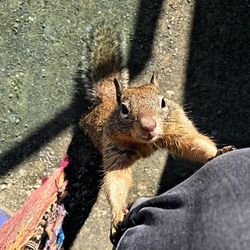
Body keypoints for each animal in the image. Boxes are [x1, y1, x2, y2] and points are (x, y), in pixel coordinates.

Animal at [79, 25, 235, 240]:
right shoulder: (115, 147)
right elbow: (116, 180)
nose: (149, 126)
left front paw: (217, 153)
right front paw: (117, 214)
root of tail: (107, 99)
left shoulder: (177, 129)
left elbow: (194, 144)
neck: (146, 143)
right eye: (124, 109)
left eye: (162, 102)